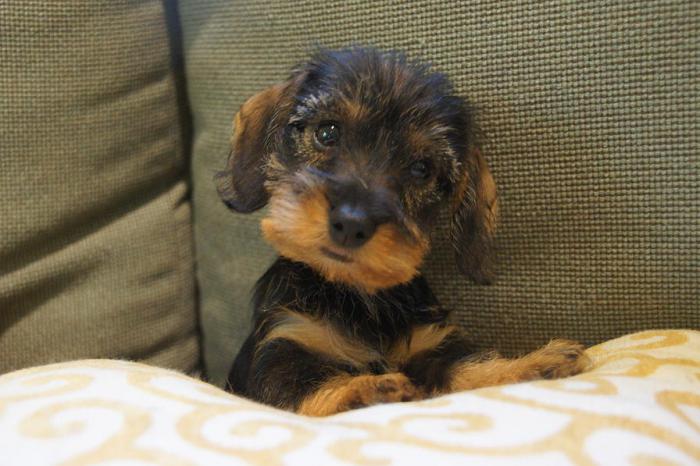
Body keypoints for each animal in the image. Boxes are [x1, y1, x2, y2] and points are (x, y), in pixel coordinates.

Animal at [216, 47, 588, 416]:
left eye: (421, 169)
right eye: (326, 133)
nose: (352, 223)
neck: (357, 297)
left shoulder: (433, 344)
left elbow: (468, 368)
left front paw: (528, 365)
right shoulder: (284, 348)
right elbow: (313, 388)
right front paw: (363, 389)